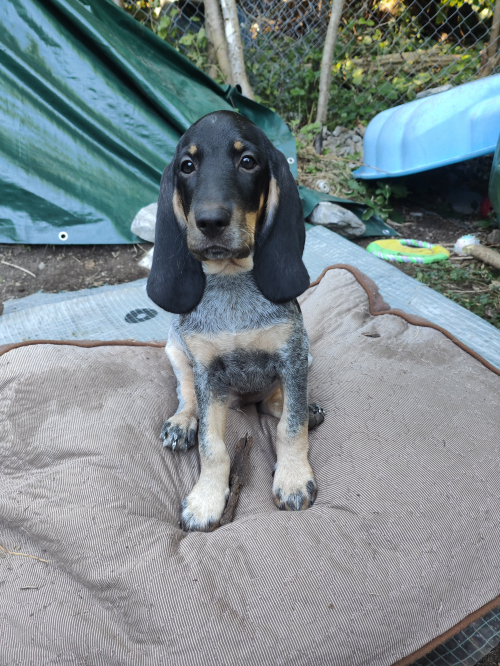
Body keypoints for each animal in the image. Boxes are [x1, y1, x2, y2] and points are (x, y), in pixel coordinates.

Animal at [146, 111, 324, 532]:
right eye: (187, 166)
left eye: (247, 161)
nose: (210, 221)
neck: (231, 283)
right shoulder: (207, 371)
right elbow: (212, 447)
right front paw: (207, 498)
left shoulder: (293, 354)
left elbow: (290, 428)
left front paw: (293, 478)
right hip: (176, 349)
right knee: (187, 394)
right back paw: (183, 421)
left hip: (305, 358)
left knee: (279, 404)